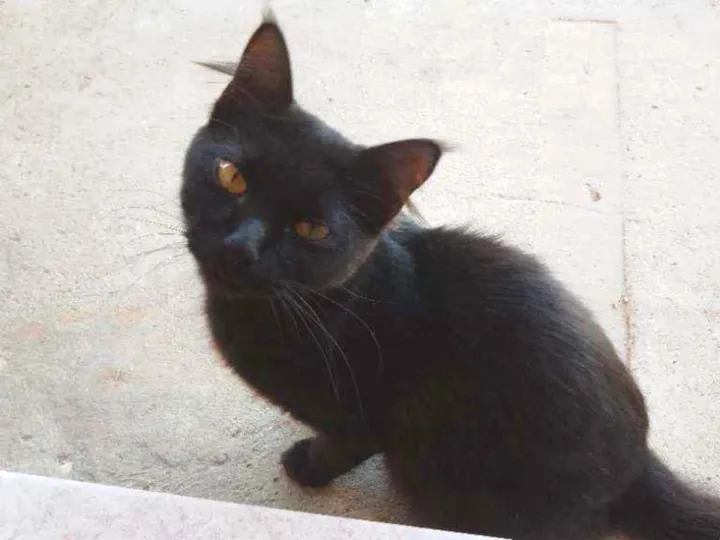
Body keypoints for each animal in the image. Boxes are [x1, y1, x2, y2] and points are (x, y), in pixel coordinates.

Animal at [181, 12, 720, 540]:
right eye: (231, 176)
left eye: (311, 229)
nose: (240, 247)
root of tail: (639, 466)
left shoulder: (364, 419)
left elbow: (337, 448)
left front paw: (306, 466)